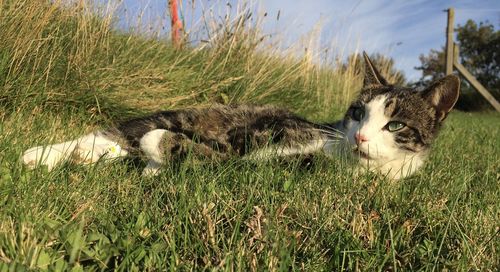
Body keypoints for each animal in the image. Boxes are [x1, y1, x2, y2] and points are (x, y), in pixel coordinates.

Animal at [23, 53, 460, 181]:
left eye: (396, 124)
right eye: (357, 112)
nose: (359, 137)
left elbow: (204, 157)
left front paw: (157, 155)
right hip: (187, 113)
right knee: (120, 131)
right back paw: (41, 155)